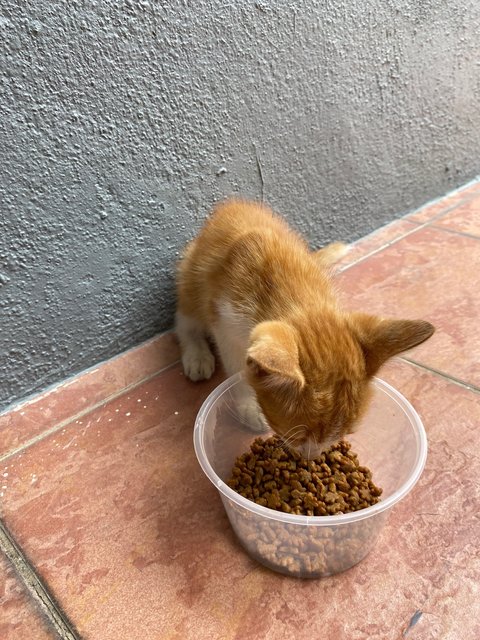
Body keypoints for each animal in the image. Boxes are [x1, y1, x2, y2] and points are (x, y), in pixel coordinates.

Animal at [174, 198, 434, 458]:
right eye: (298, 435)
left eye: (344, 434)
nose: (312, 458)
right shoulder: (222, 315)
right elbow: (234, 360)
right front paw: (248, 403)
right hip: (191, 276)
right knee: (184, 318)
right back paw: (197, 355)